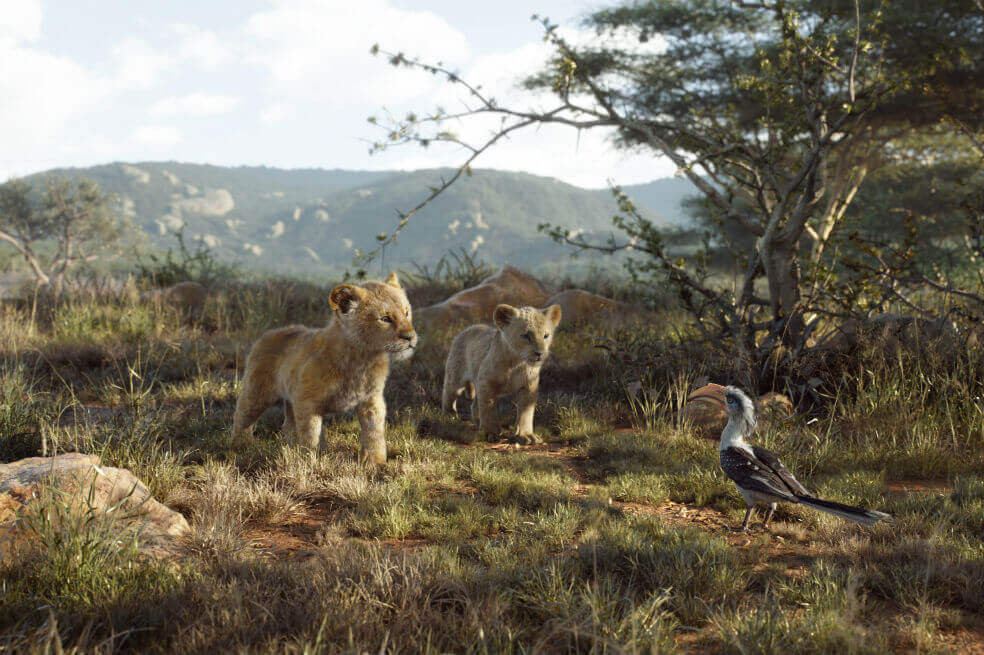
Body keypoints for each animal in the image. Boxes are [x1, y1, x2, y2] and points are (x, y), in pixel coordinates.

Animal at [231, 272, 416, 464]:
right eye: (385, 319)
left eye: (406, 312)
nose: (410, 337)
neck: (362, 359)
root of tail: (268, 334)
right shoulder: (307, 402)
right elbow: (310, 436)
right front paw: (308, 461)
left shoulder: (371, 400)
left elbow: (374, 433)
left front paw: (375, 463)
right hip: (256, 393)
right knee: (242, 417)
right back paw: (240, 447)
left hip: (289, 398)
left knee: (288, 426)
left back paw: (288, 449)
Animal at [442, 303, 562, 444]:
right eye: (526, 336)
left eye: (546, 335)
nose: (540, 353)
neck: (517, 363)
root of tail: (470, 328)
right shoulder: (486, 382)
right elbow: (489, 408)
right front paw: (490, 433)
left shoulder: (529, 386)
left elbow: (526, 412)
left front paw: (526, 435)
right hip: (455, 376)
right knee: (449, 393)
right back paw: (449, 415)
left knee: (474, 404)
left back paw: (478, 421)